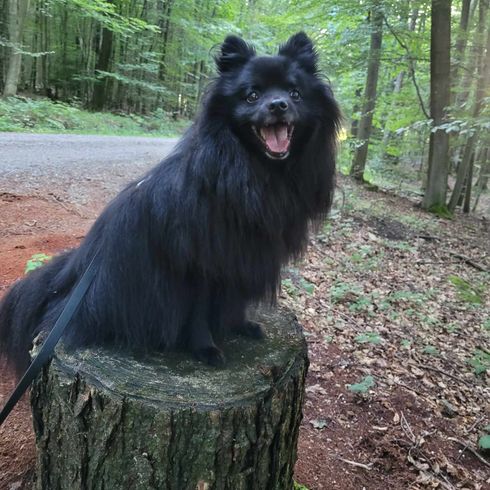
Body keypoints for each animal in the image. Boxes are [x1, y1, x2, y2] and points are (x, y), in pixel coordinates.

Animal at [0, 33, 340, 372]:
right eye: (252, 96)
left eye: (295, 93)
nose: (278, 104)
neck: (254, 171)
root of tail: (74, 271)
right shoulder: (199, 263)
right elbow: (199, 312)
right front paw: (206, 348)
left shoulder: (241, 257)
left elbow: (235, 302)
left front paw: (240, 325)